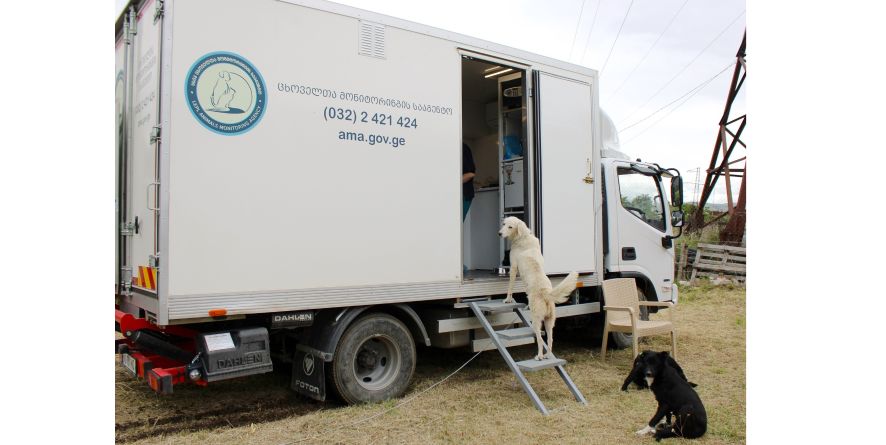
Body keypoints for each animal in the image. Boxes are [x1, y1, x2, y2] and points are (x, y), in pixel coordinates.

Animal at [500, 217, 584, 360]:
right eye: (504, 224)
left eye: (510, 227)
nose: (499, 233)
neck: (523, 237)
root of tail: (546, 293)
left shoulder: (513, 268)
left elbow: (510, 287)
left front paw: (507, 299)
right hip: (550, 322)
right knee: (550, 340)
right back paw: (548, 355)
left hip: (536, 320)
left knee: (539, 339)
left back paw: (539, 356)